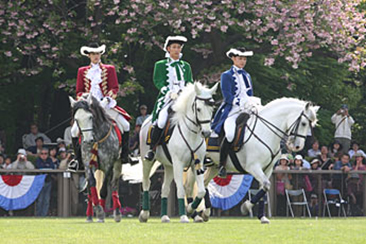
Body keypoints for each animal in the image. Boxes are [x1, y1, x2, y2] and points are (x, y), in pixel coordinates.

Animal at [139, 82, 219, 223]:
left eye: (211, 109)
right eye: (198, 109)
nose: (206, 133)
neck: (191, 134)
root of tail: (147, 121)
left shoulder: (197, 163)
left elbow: (201, 191)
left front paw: (191, 210)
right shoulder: (179, 164)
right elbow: (181, 190)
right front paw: (184, 216)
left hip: (169, 166)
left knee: (165, 188)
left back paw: (164, 216)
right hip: (148, 161)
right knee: (146, 183)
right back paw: (144, 214)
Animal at [186, 96, 318, 221]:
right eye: (304, 123)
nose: (298, 146)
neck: (265, 132)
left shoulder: (267, 169)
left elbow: (264, 189)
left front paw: (262, 217)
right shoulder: (253, 167)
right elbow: (266, 185)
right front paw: (246, 207)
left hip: (213, 166)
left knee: (204, 183)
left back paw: (205, 213)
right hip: (196, 164)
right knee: (189, 186)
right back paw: (192, 212)